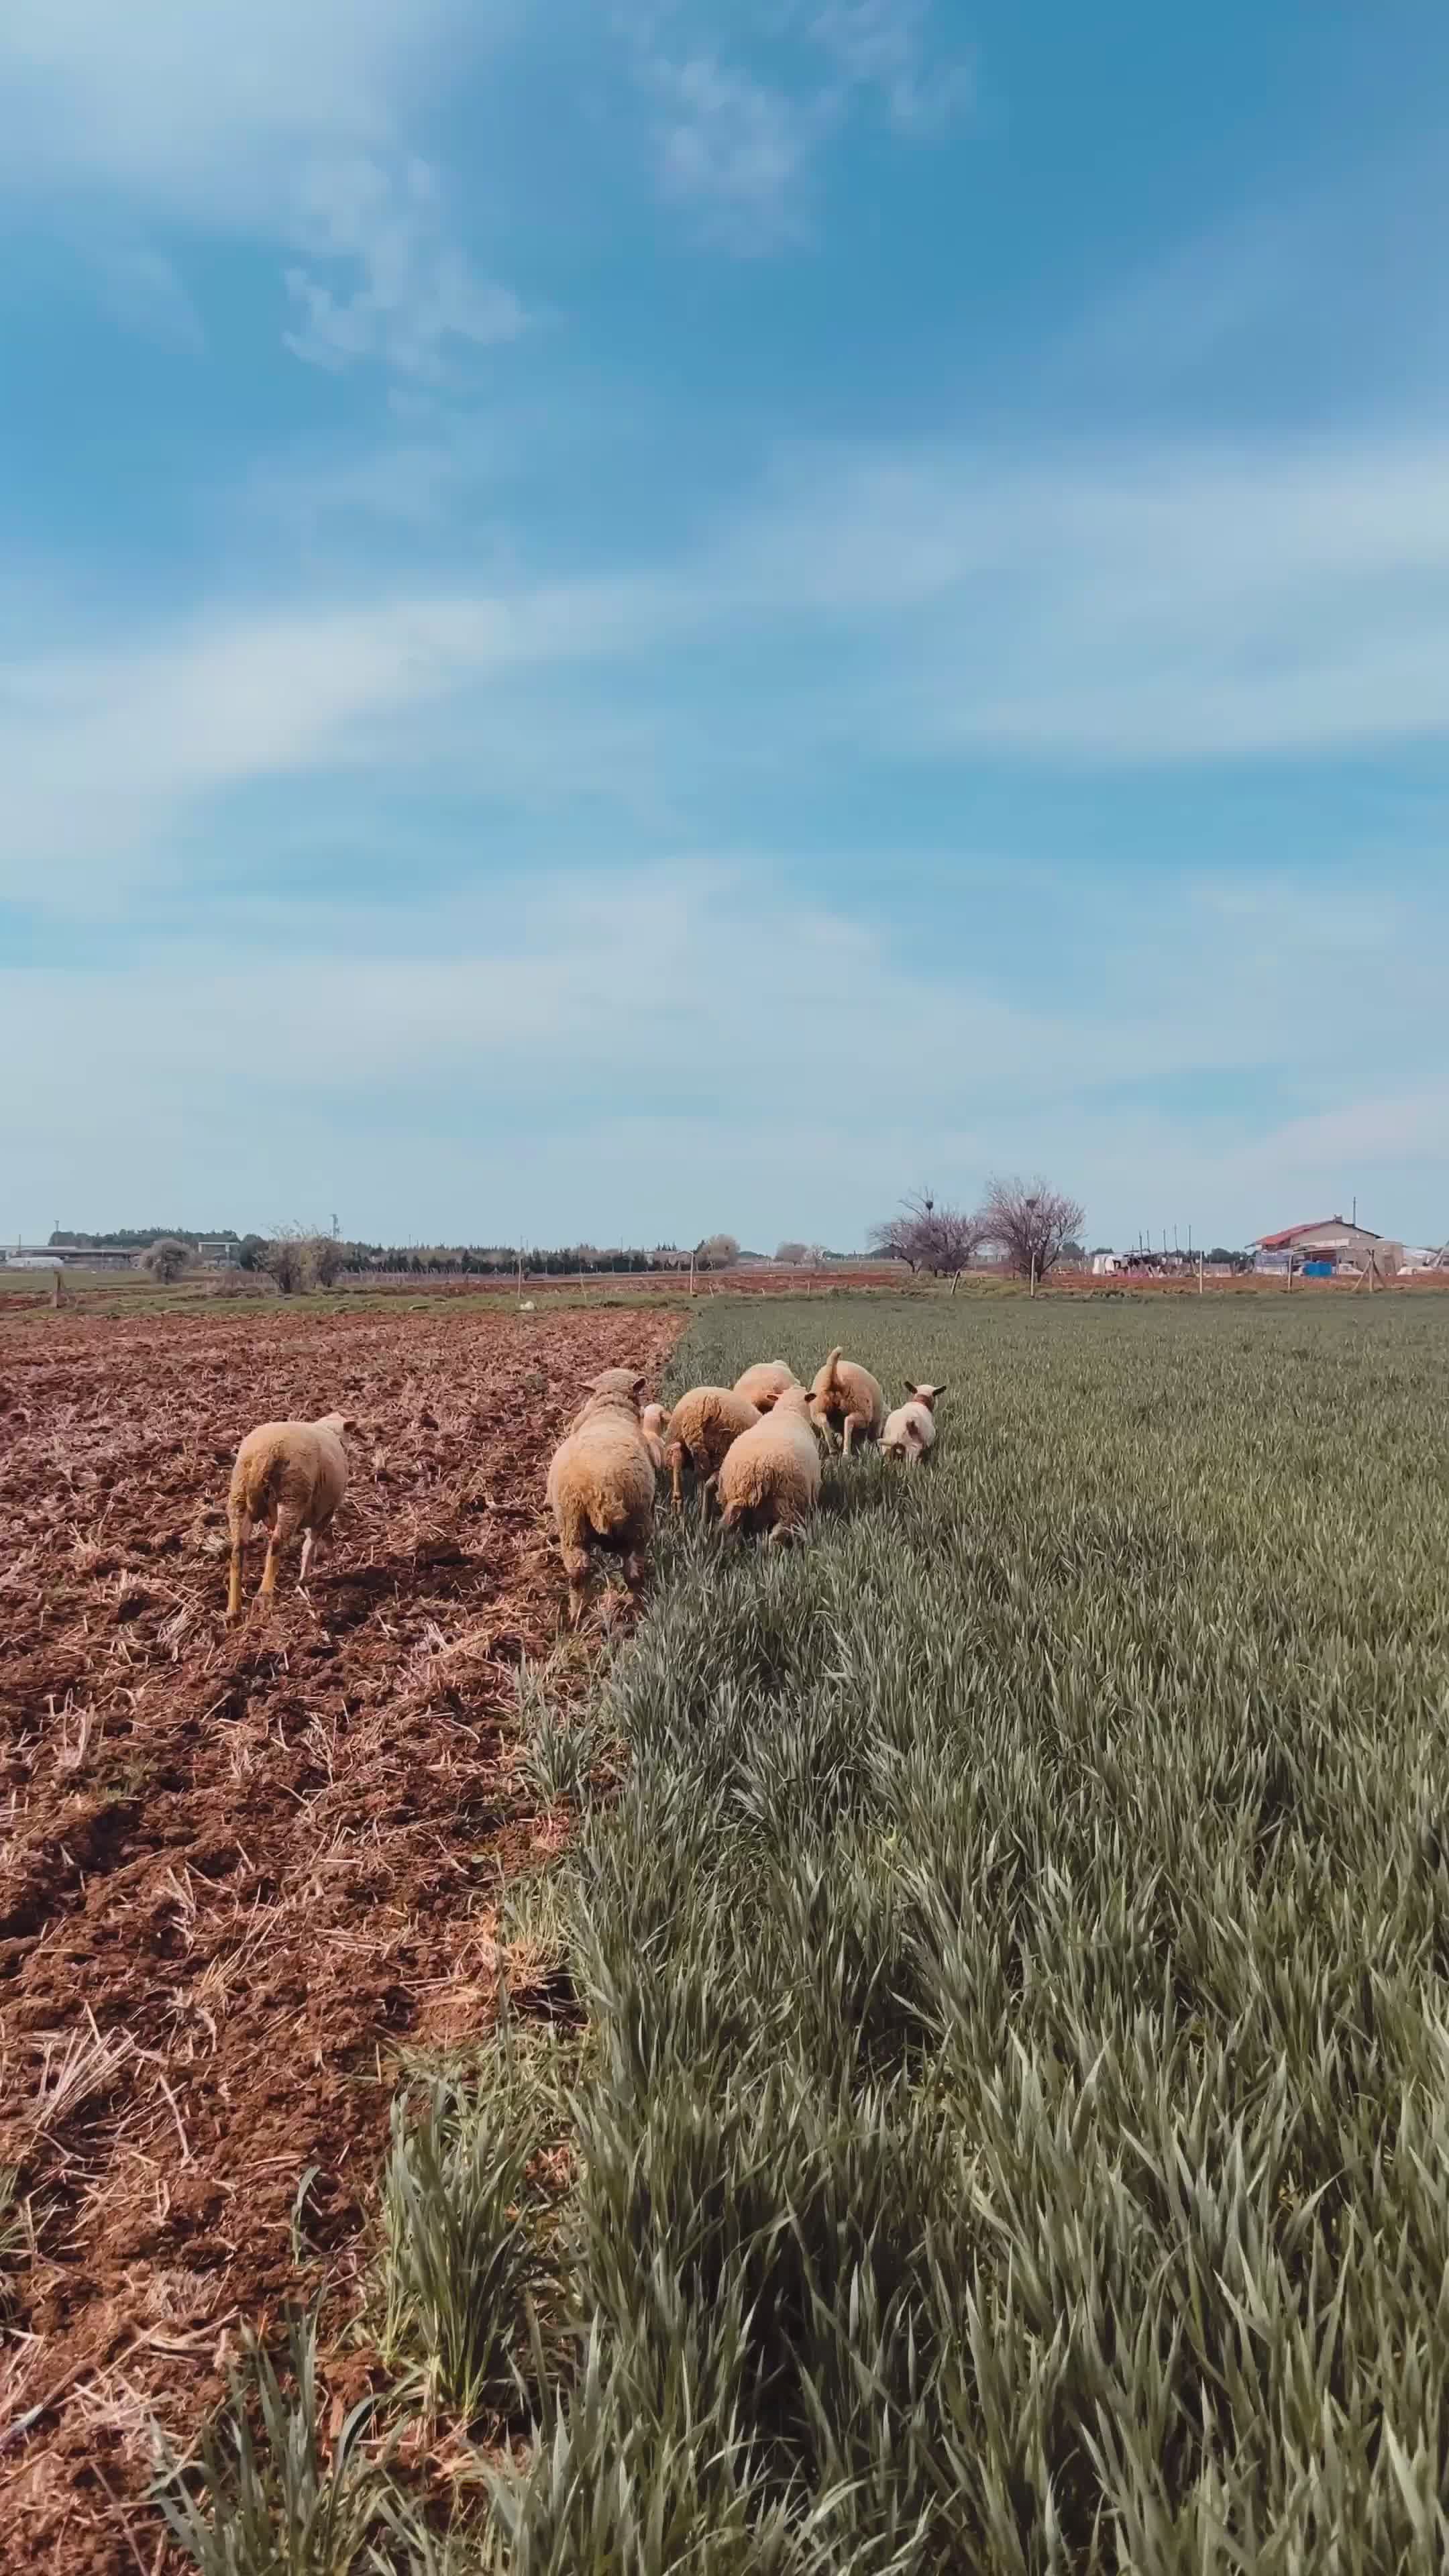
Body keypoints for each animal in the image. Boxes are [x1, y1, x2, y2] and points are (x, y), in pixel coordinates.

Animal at [227, 1412, 350, 1623]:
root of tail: (264, 1454)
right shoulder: (326, 1513)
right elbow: (310, 1544)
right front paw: (304, 1580)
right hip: (292, 1496)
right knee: (276, 1545)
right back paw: (264, 1599)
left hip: (239, 1498)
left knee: (237, 1551)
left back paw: (233, 1613)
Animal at [546, 1368, 656, 1626]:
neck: (608, 1408)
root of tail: (595, 1490)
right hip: (637, 1524)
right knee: (633, 1571)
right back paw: (636, 1605)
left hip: (571, 1527)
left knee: (578, 1572)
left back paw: (577, 1615)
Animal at [716, 1383, 821, 1543]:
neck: (789, 1409)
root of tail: (757, 1469)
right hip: (789, 1504)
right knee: (777, 1535)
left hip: (732, 1501)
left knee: (729, 1530)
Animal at [808, 1346, 885, 1459]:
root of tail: (835, 1381)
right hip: (860, 1409)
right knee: (849, 1421)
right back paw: (846, 1453)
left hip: (818, 1408)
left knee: (823, 1421)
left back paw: (833, 1449)